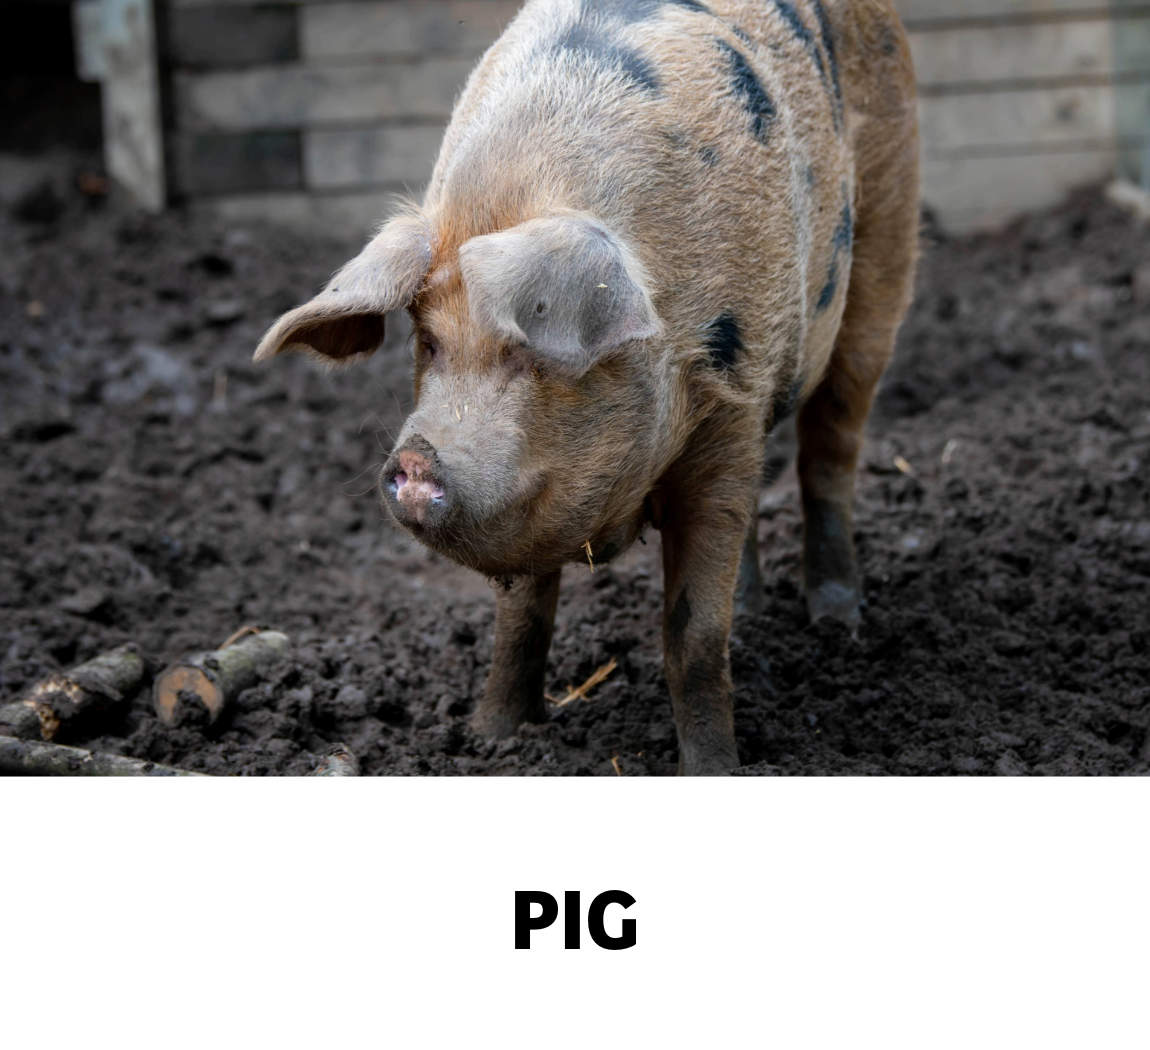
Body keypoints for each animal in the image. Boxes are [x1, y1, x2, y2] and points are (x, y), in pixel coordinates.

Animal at [254, 0, 920, 775]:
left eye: (529, 354)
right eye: (429, 343)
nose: (417, 460)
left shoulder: (731, 410)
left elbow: (694, 634)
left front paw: (717, 767)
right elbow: (520, 619)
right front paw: (491, 740)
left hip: (885, 240)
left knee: (831, 450)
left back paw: (837, 620)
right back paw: (757, 611)